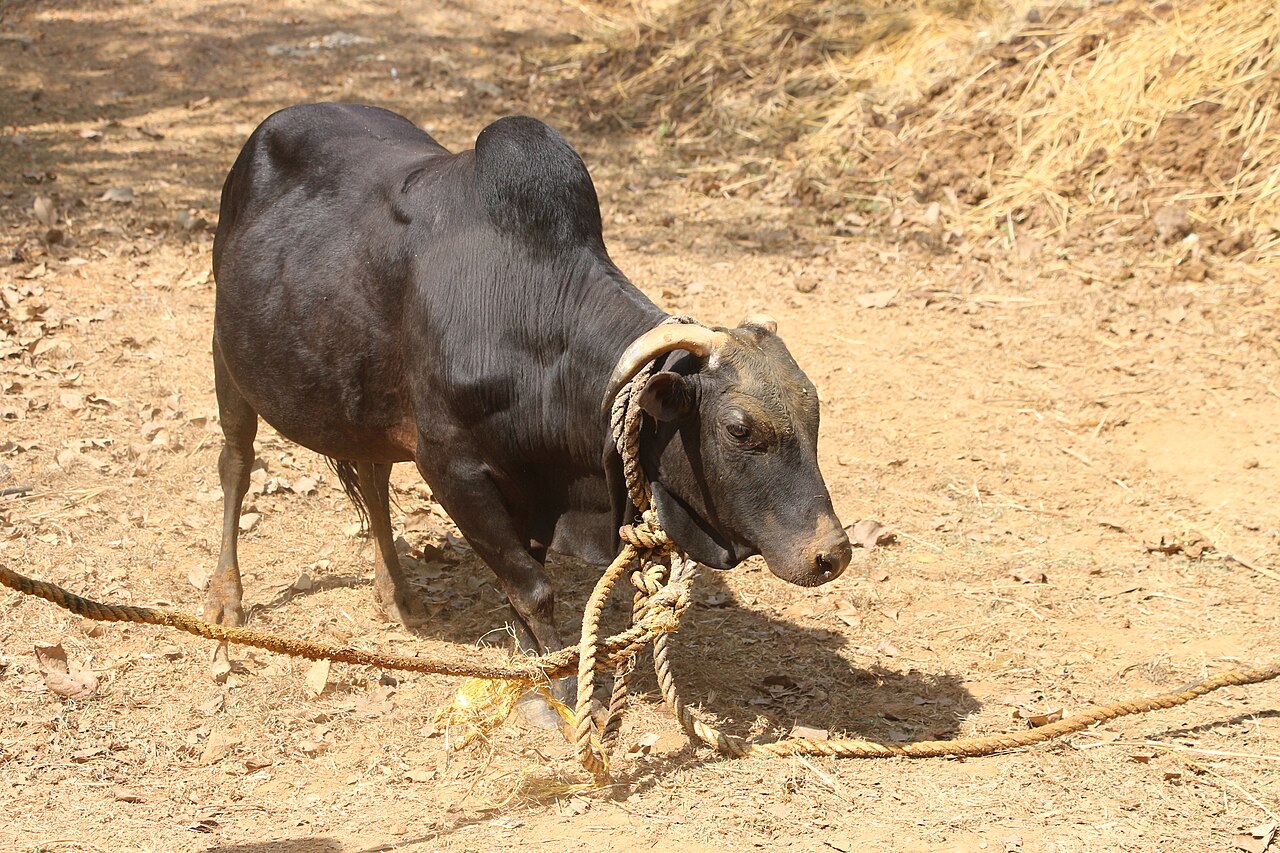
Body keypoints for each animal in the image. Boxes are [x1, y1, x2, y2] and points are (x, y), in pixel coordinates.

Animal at [207, 103, 851, 666]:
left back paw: (397, 595)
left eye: (815, 414)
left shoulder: (533, 489)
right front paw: (558, 688)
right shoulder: (453, 469)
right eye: (738, 429)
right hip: (226, 359)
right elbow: (534, 590)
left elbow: (521, 588)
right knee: (236, 465)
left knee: (372, 476)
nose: (831, 554)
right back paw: (226, 599)